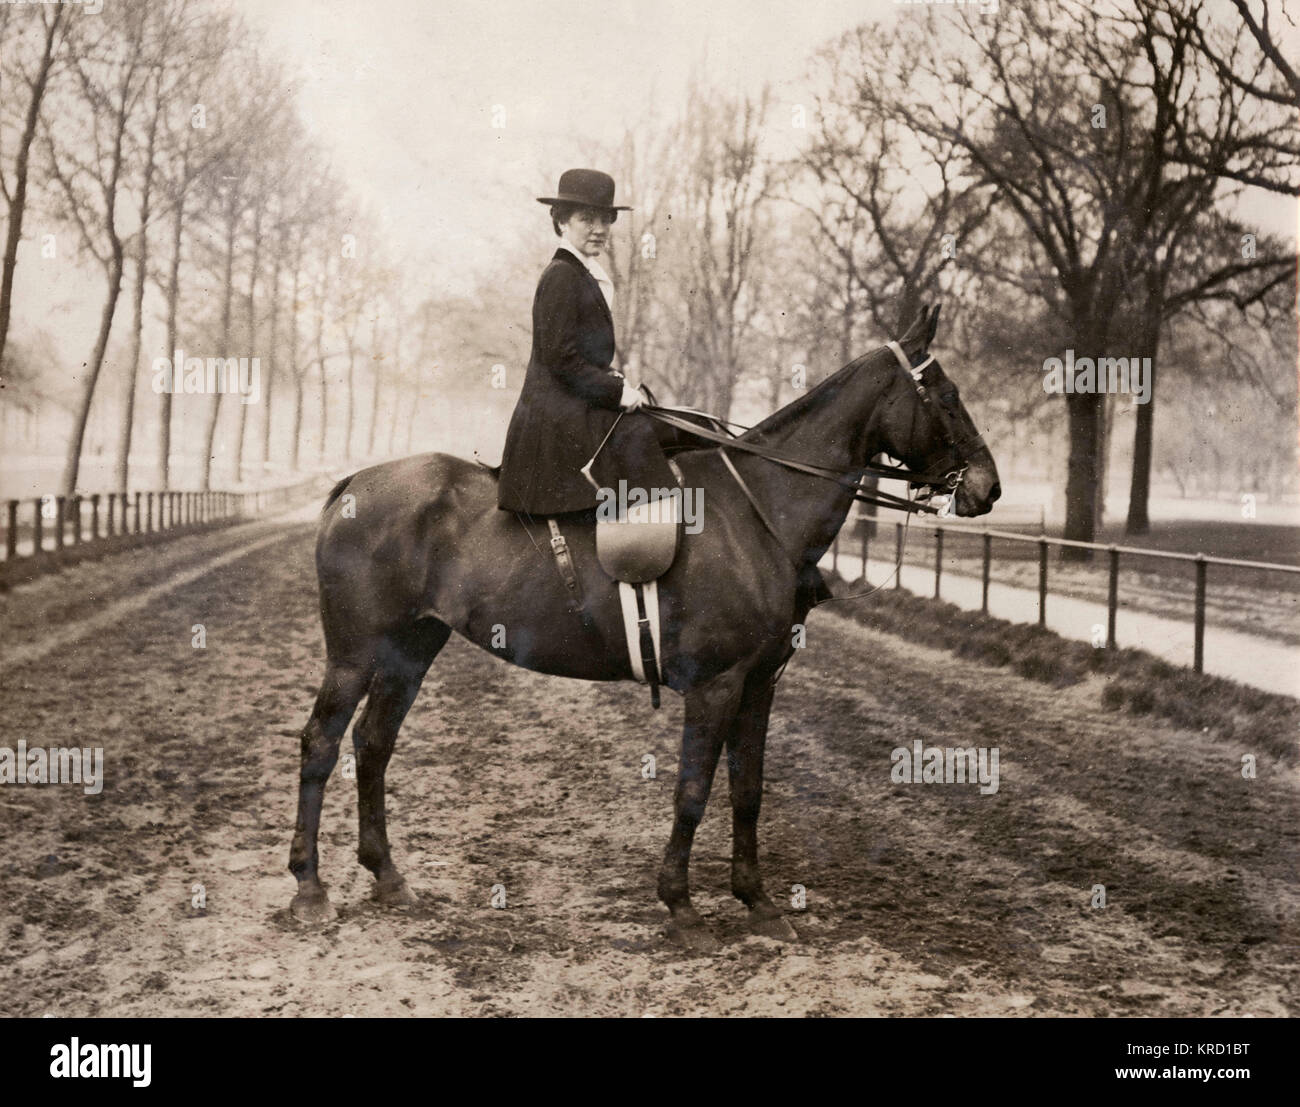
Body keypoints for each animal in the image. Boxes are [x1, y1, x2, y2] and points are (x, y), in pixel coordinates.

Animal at [292, 305, 1003, 951]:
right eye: (946, 396)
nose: (988, 488)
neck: (757, 512)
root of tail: (355, 484)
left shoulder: (759, 684)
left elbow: (748, 790)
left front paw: (759, 903)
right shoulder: (716, 686)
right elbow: (693, 790)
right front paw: (682, 907)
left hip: (411, 649)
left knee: (374, 744)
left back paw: (388, 878)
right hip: (355, 655)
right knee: (322, 744)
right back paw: (309, 889)